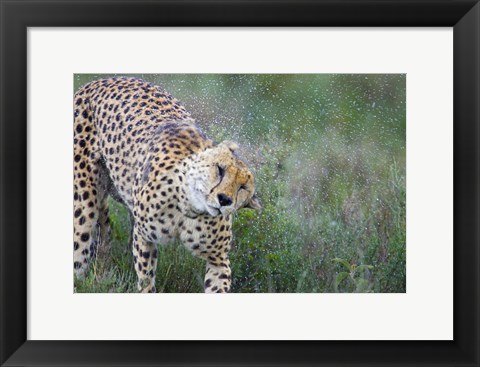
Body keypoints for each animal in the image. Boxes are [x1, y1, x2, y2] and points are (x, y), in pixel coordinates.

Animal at [73, 77, 260, 294]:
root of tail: (102, 80)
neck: (190, 208)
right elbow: (146, 279)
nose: (224, 199)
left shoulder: (219, 260)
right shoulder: (144, 237)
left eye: (243, 188)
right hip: (84, 203)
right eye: (220, 169)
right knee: (80, 249)